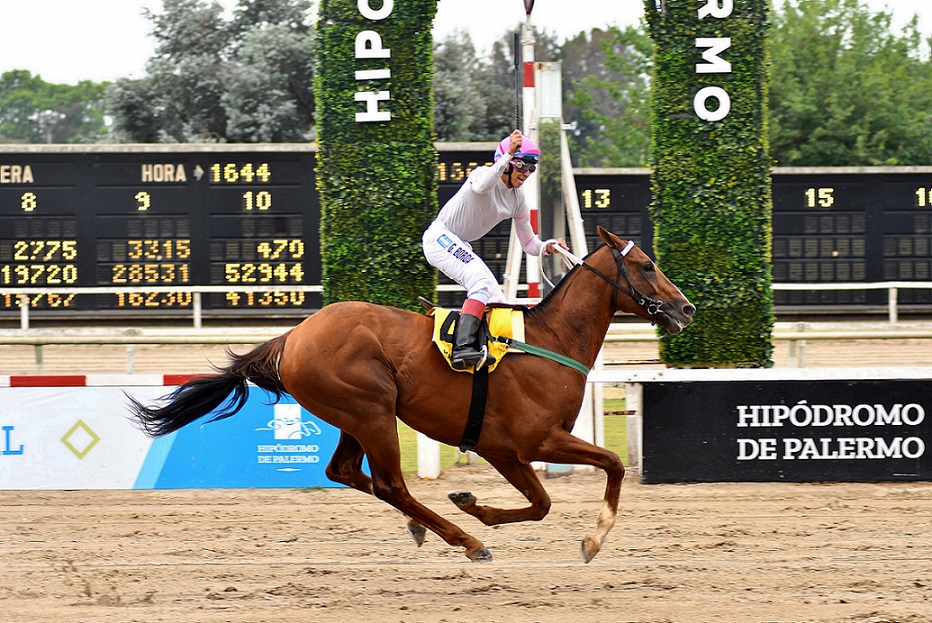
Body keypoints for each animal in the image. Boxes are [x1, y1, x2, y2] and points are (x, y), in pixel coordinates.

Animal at [127, 226, 695, 563]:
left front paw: (472, 502)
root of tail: (293, 336)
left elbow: (542, 502)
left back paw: (427, 527)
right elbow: (597, 473)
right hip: (371, 410)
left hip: (354, 416)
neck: (550, 342)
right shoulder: (531, 441)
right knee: (390, 484)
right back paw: (465, 540)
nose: (685, 308)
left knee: (345, 472)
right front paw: (592, 538)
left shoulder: (504, 449)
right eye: (646, 265)